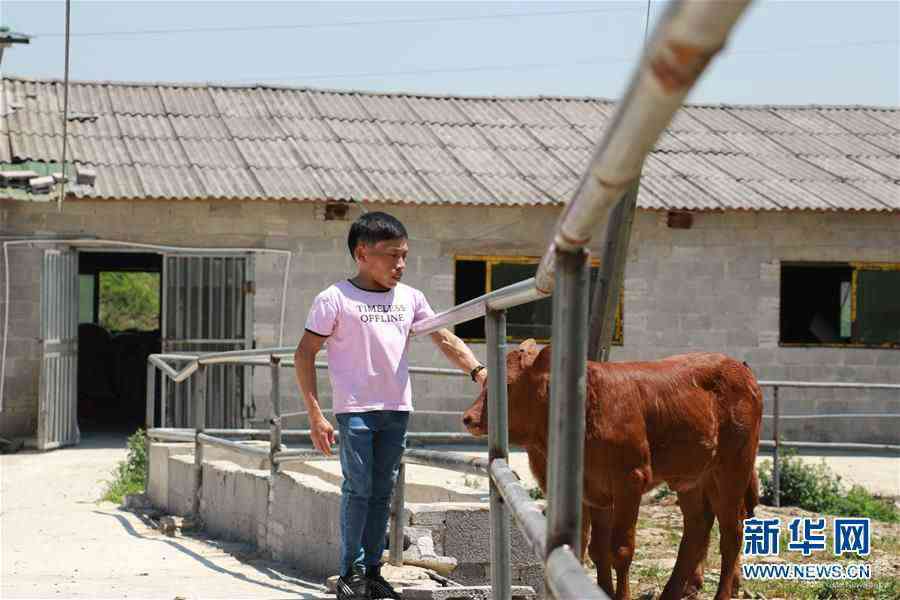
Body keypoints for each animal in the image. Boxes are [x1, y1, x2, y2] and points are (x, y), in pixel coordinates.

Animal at [460, 340, 764, 596]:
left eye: (508, 386)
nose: (468, 418)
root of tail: (739, 367)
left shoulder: (630, 479)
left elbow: (620, 550)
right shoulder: (594, 490)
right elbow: (596, 550)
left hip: (733, 468)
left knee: (732, 534)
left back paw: (722, 593)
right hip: (691, 477)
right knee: (697, 528)